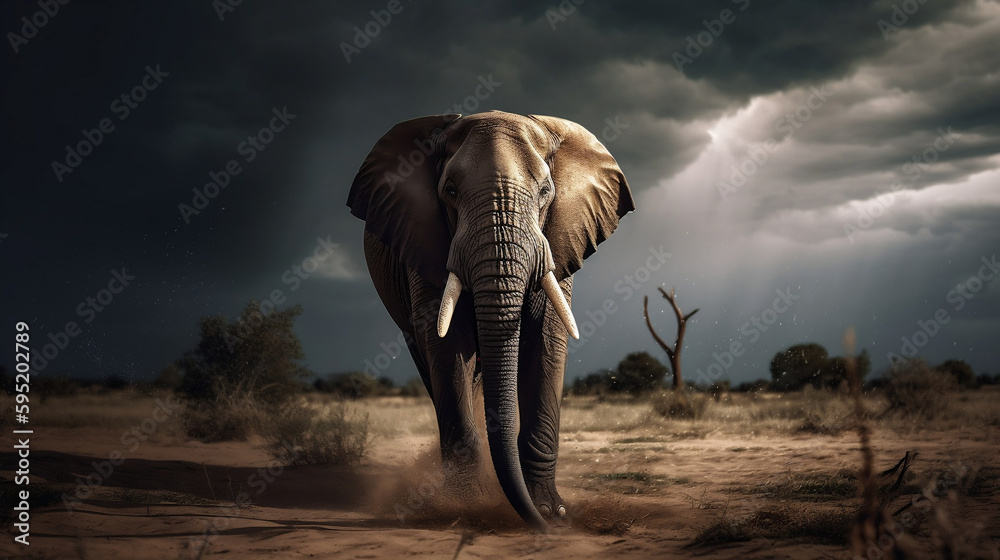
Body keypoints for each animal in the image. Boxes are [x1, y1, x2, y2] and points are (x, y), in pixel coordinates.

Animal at [347, 111, 633, 530]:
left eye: (546, 191)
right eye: (449, 191)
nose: (541, 526)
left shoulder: (558, 240)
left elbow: (547, 339)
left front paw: (551, 511)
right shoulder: (425, 243)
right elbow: (448, 345)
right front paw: (466, 507)